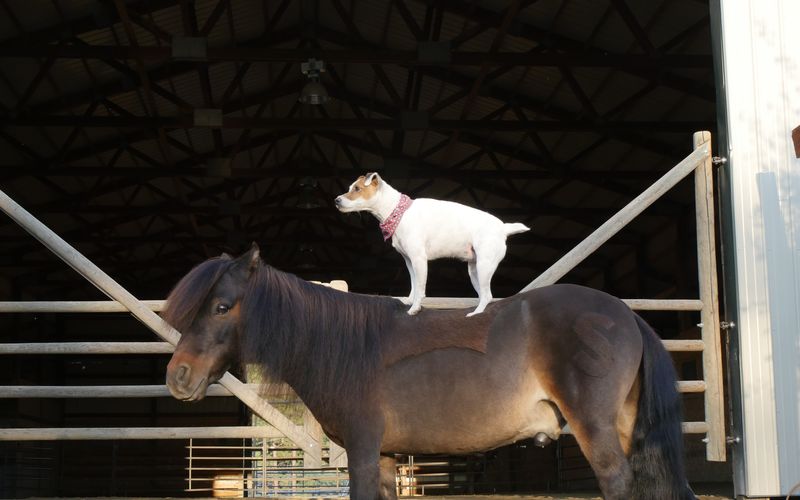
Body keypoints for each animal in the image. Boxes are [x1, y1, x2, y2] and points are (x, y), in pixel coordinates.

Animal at [161, 245, 692, 500]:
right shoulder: (387, 456)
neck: (347, 348)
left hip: (596, 430)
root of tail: (627, 315)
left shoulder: (362, 453)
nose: (178, 376)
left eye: (223, 306)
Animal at [338, 172, 532, 316]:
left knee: (487, 295)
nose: (336, 200)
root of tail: (503, 228)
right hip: (474, 271)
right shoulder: (410, 261)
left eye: (357, 188)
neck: (398, 212)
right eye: (350, 188)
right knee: (486, 295)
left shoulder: (419, 259)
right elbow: (413, 284)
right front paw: (409, 301)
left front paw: (415, 308)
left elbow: (420, 287)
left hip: (485, 266)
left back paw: (475, 314)